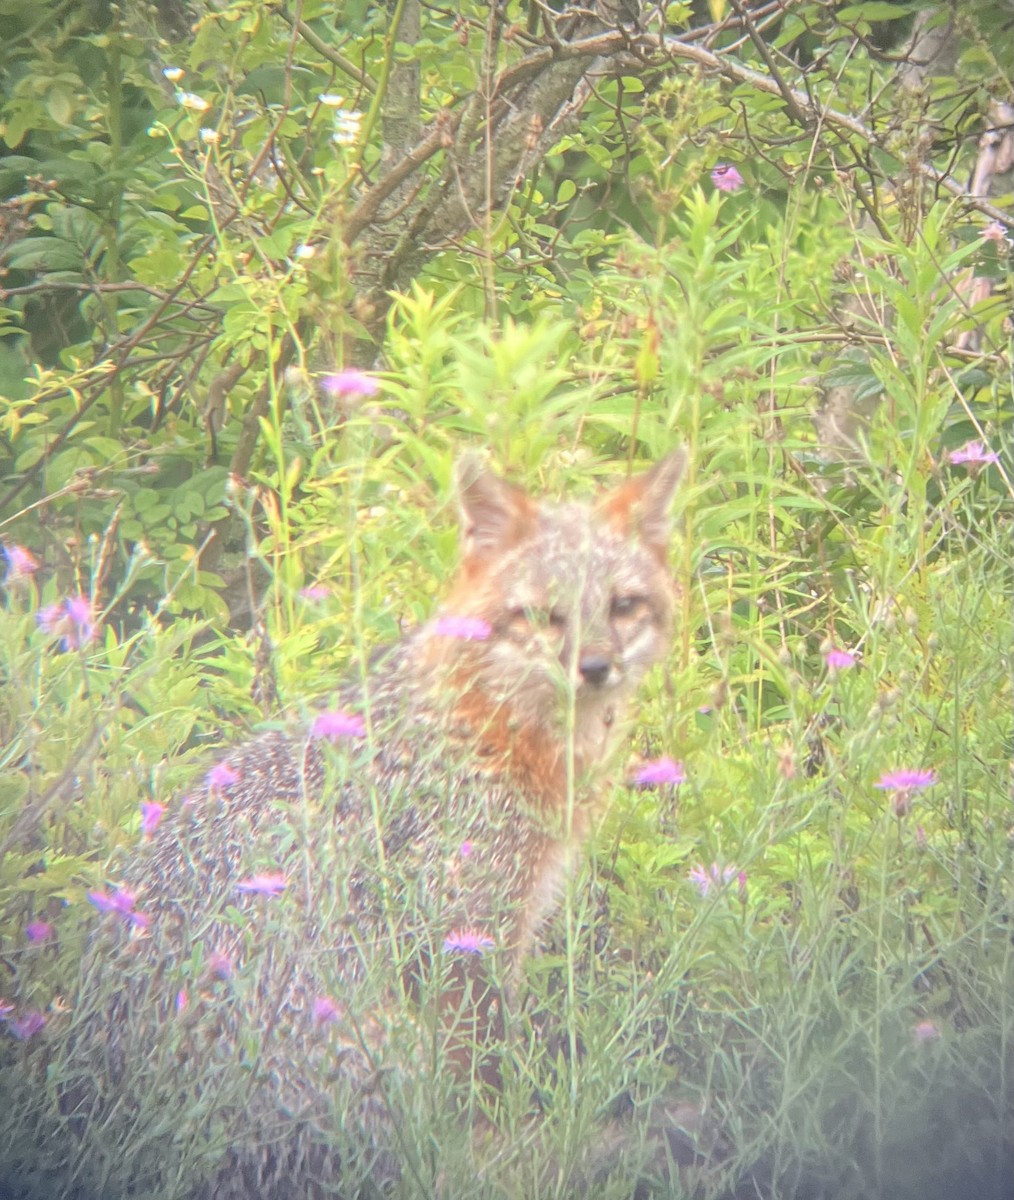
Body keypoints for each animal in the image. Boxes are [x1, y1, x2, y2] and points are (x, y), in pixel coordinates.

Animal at [46, 450, 686, 1199]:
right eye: (544, 616)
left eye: (623, 605)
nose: (595, 667)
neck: (485, 725)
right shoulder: (462, 938)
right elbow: (481, 1095)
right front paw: (512, 1143)